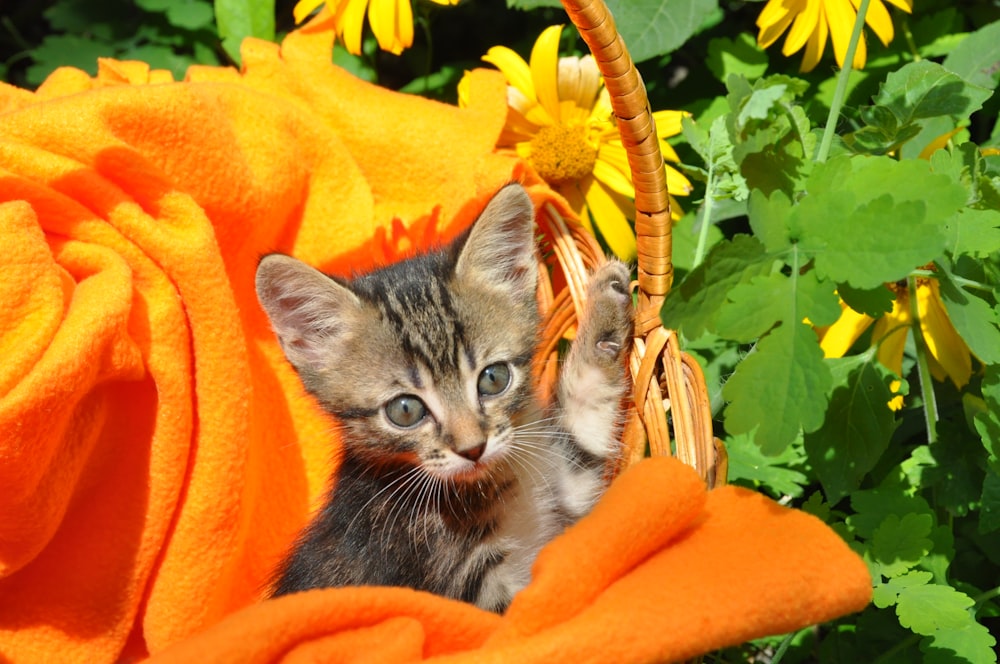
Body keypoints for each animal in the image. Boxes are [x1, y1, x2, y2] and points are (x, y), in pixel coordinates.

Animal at [258, 182, 632, 612]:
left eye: (493, 378)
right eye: (405, 410)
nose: (473, 449)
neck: (489, 484)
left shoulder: (570, 493)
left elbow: (586, 413)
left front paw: (605, 311)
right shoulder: (474, 596)